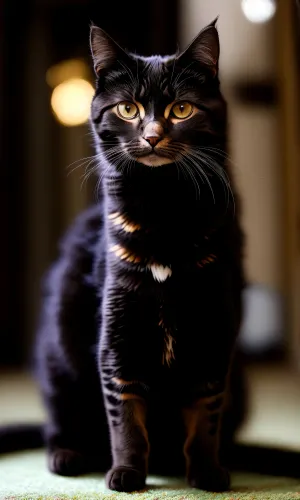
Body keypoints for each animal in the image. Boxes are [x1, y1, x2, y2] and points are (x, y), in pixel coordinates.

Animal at [0, 19, 246, 492]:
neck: (163, 207)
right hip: (58, 362)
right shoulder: (117, 335)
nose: (151, 136)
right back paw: (67, 455)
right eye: (128, 110)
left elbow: (206, 414)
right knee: (60, 422)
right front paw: (128, 472)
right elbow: (126, 417)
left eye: (182, 109)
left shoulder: (212, 331)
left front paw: (206, 472)